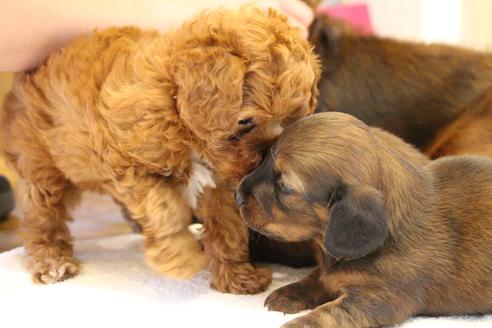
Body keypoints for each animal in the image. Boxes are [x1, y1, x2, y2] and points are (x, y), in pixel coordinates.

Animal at [0, 7, 320, 290]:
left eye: (291, 120)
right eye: (245, 122)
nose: (264, 158)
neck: (175, 105)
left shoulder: (218, 185)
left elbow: (227, 227)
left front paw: (237, 276)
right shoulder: (133, 168)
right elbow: (166, 210)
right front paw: (181, 259)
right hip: (40, 165)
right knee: (42, 218)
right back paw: (52, 262)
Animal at [234, 113, 492, 328]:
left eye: (284, 186)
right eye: (265, 159)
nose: (236, 195)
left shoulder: (378, 297)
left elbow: (328, 315)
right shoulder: (329, 273)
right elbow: (316, 277)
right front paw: (290, 293)